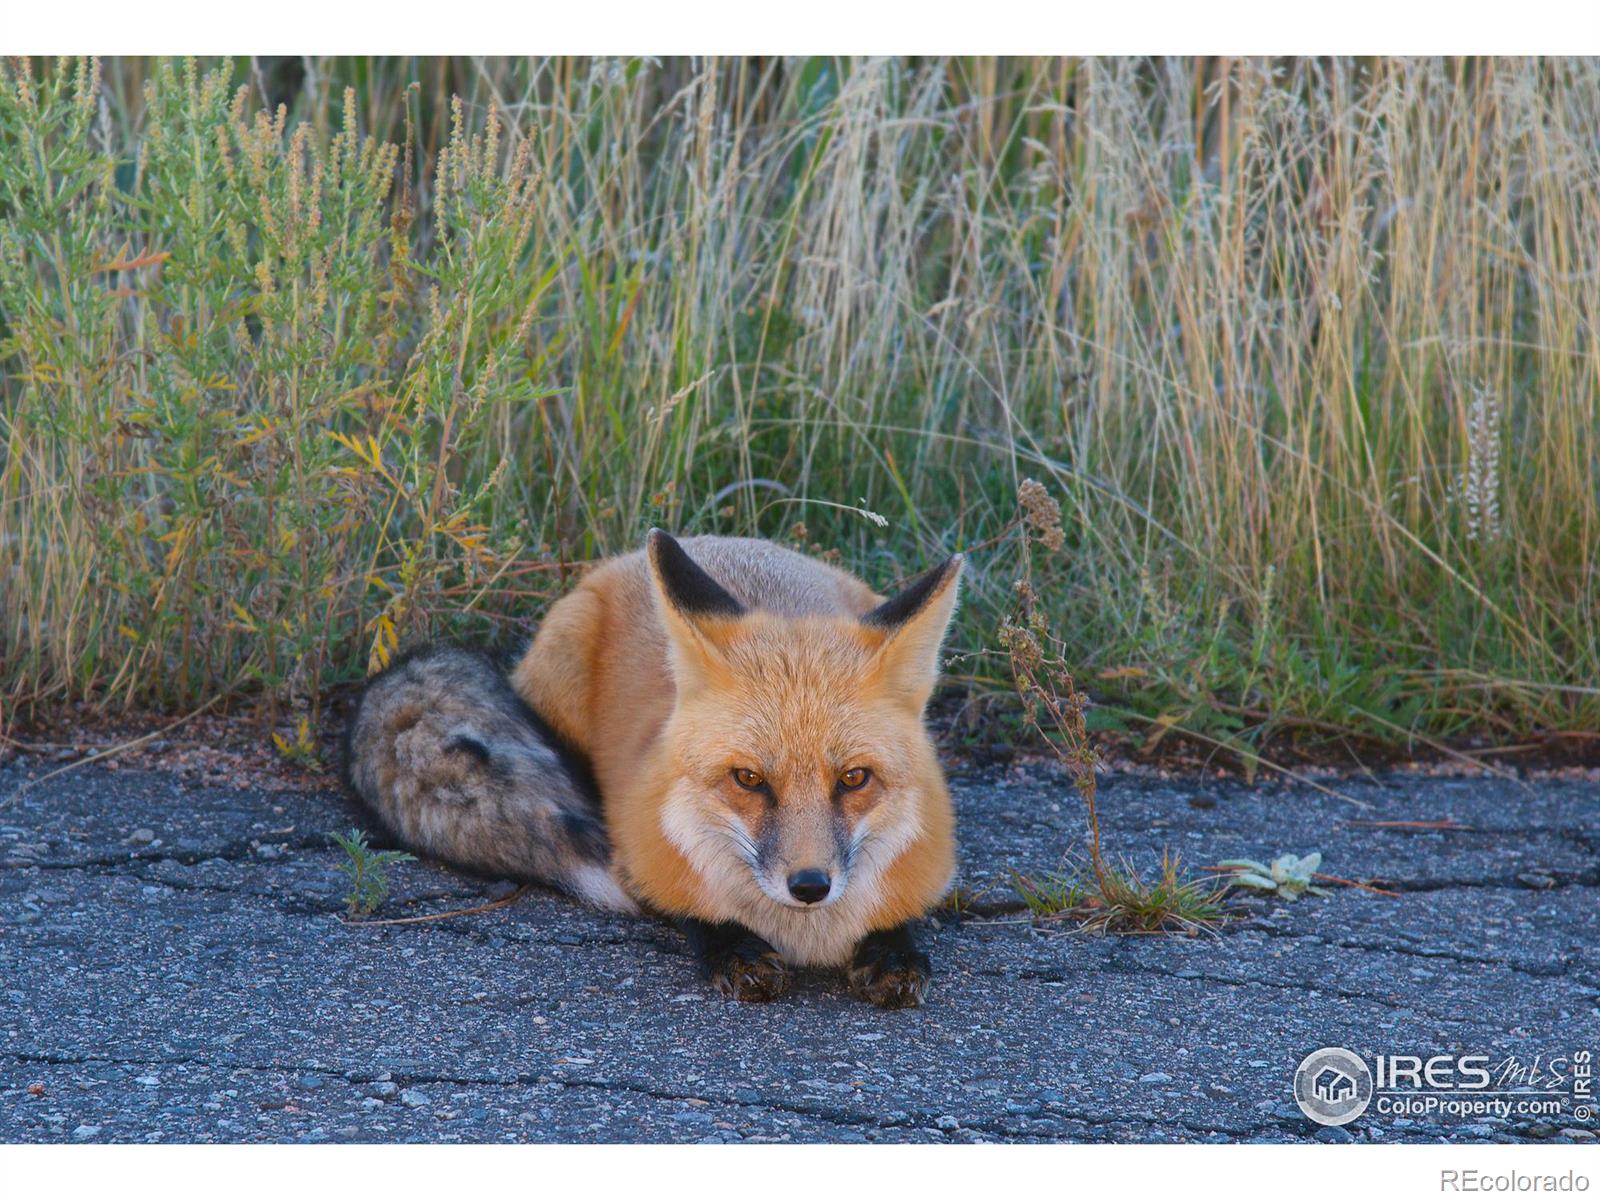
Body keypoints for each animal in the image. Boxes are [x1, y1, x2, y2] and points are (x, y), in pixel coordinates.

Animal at [342, 531, 953, 1011]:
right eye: (748, 779)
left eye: (854, 778)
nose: (809, 886)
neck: (806, 935)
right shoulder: (639, 856)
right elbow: (693, 911)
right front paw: (735, 951)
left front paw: (894, 952)